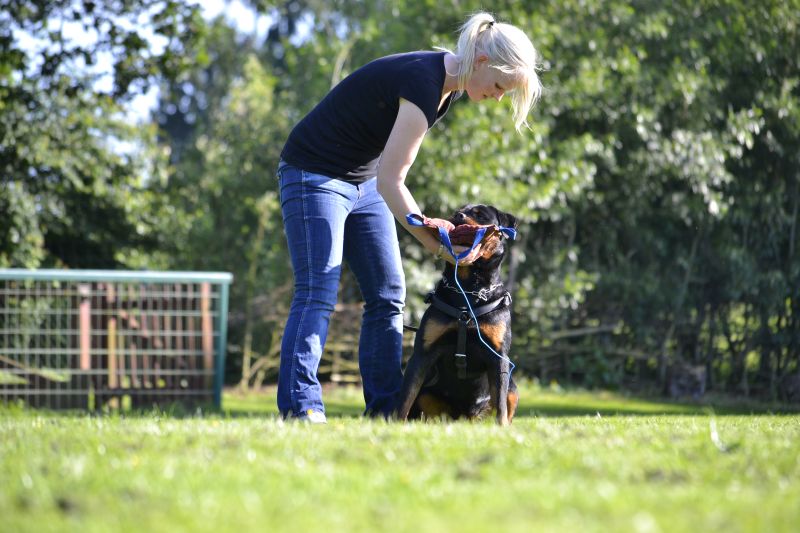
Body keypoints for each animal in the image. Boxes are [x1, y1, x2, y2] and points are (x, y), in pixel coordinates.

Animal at [396, 204, 519, 425]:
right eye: (456, 212)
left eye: (480, 215)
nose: (458, 216)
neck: (467, 288)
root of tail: (465, 418)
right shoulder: (422, 354)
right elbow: (405, 398)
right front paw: (395, 423)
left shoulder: (498, 356)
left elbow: (501, 405)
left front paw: (502, 427)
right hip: (427, 392)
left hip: (513, 387)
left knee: (507, 397)